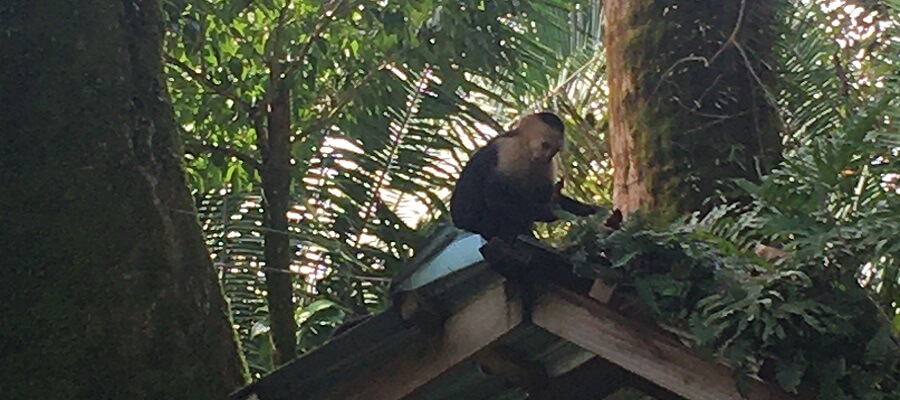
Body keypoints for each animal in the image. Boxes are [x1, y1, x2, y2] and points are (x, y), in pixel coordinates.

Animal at [450, 111, 596, 241]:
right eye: (545, 145)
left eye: (554, 151)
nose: (546, 157)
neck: (526, 150)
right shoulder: (510, 149)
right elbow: (496, 196)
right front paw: (548, 212)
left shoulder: (546, 164)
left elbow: (543, 193)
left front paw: (588, 209)